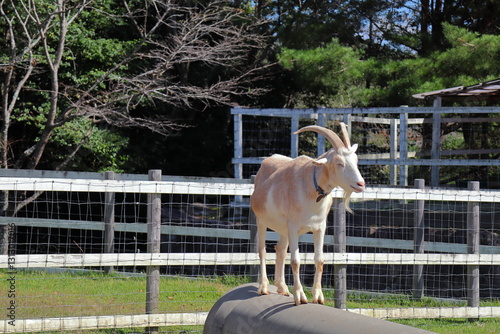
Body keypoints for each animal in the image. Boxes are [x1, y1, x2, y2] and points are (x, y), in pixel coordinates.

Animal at [249, 123, 364, 306]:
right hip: (262, 221)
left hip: (283, 230)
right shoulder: (293, 227)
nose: (361, 184)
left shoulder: (319, 227)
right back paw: (264, 287)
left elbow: (320, 260)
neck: (311, 187)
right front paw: (300, 296)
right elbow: (296, 261)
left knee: (280, 250)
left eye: (356, 160)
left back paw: (282, 288)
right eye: (339, 162)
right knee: (262, 251)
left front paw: (318, 296)